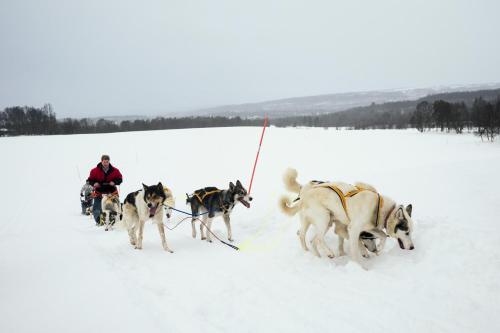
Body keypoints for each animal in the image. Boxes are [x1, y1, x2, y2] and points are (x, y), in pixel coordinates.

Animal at [278, 167, 414, 264]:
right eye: (407, 232)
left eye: (411, 232)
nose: (413, 247)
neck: (379, 209)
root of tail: (304, 193)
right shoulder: (352, 229)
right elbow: (357, 244)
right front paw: (362, 264)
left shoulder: (369, 228)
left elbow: (383, 235)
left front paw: (379, 248)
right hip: (324, 218)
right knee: (316, 238)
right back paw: (327, 253)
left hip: (325, 222)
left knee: (310, 239)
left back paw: (317, 256)